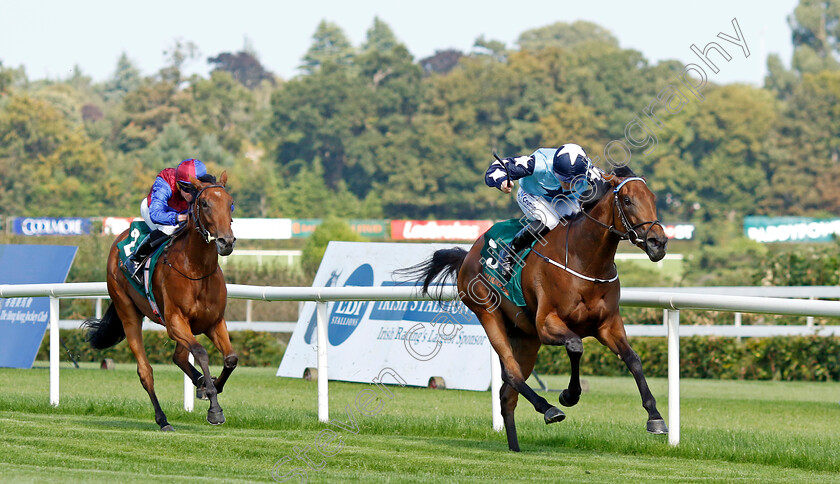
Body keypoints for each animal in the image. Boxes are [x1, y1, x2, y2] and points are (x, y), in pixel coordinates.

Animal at [83, 172, 236, 430]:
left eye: (230, 202)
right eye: (205, 203)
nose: (226, 242)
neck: (197, 269)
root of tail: (119, 239)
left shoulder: (214, 322)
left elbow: (231, 359)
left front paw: (212, 385)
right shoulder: (175, 322)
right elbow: (201, 352)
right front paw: (215, 409)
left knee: (179, 357)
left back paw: (199, 383)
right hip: (128, 312)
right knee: (146, 371)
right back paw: (163, 419)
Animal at [406, 167, 668, 454]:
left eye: (653, 199)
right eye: (628, 201)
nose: (658, 242)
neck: (585, 260)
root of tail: (468, 253)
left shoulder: (608, 325)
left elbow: (633, 359)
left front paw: (655, 417)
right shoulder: (547, 324)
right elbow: (575, 346)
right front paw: (568, 395)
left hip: (526, 338)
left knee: (507, 394)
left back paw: (515, 447)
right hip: (488, 314)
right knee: (511, 373)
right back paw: (548, 408)